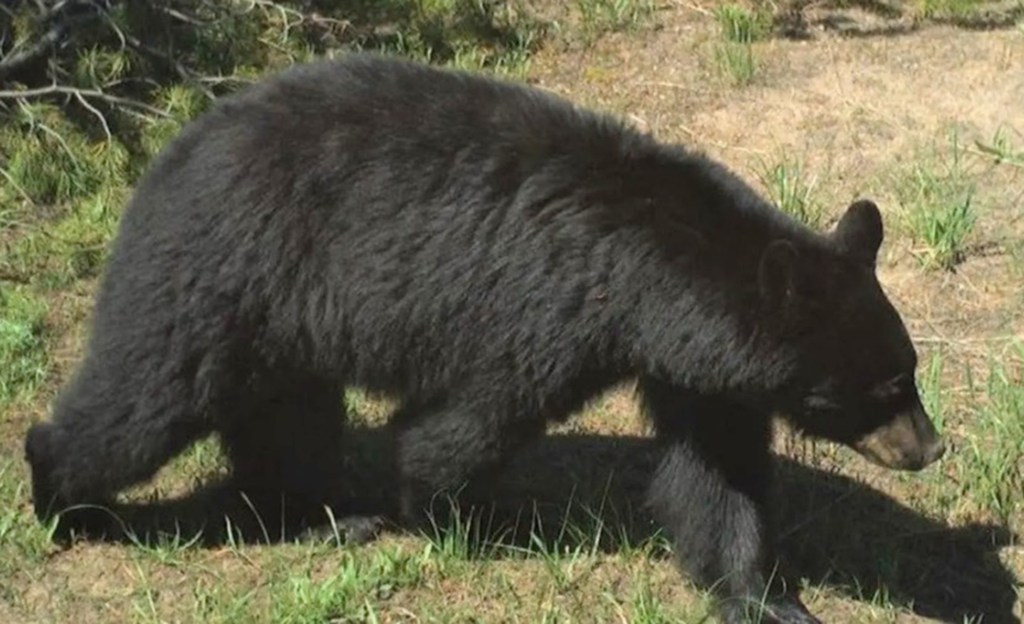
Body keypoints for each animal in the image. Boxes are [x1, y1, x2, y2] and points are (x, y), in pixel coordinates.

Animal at [24, 53, 945, 623]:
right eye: (882, 387)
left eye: (909, 370)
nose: (930, 447)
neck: (651, 278)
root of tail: (175, 147)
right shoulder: (543, 313)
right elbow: (465, 423)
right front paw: (454, 514)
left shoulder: (696, 369)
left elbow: (718, 478)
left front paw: (766, 595)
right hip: (224, 270)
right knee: (144, 399)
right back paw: (62, 499)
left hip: (281, 319)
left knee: (285, 416)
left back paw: (323, 515)